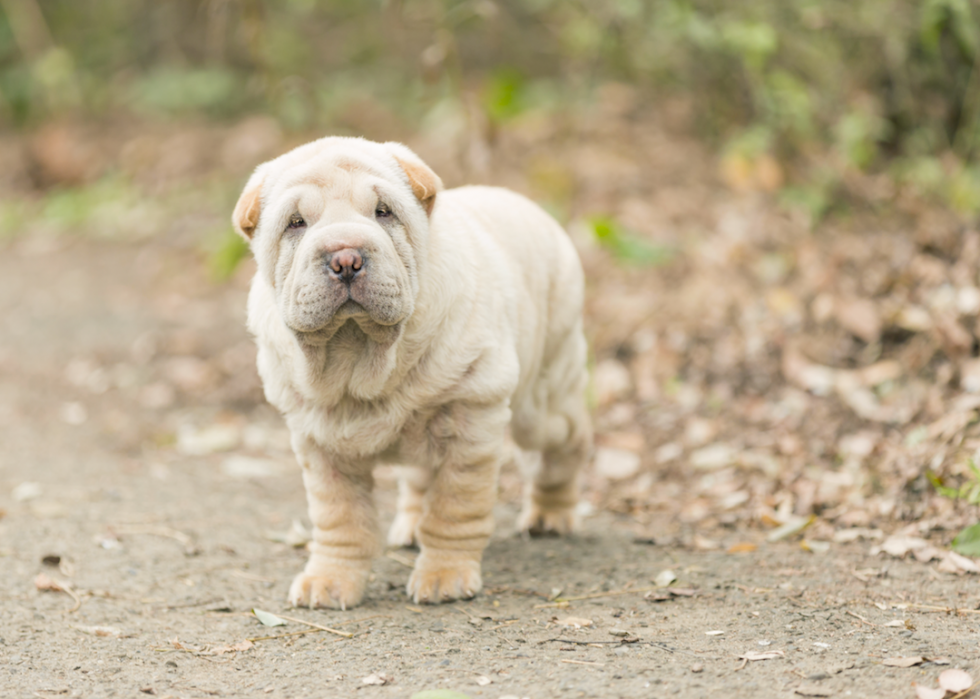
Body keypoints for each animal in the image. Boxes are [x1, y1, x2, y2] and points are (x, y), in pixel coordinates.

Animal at [234, 137, 592, 608]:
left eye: (384, 212)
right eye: (296, 223)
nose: (346, 257)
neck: (358, 355)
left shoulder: (471, 419)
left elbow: (455, 506)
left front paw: (445, 576)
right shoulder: (317, 441)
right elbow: (338, 518)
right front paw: (329, 580)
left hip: (543, 403)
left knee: (564, 446)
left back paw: (551, 514)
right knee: (420, 475)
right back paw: (409, 527)